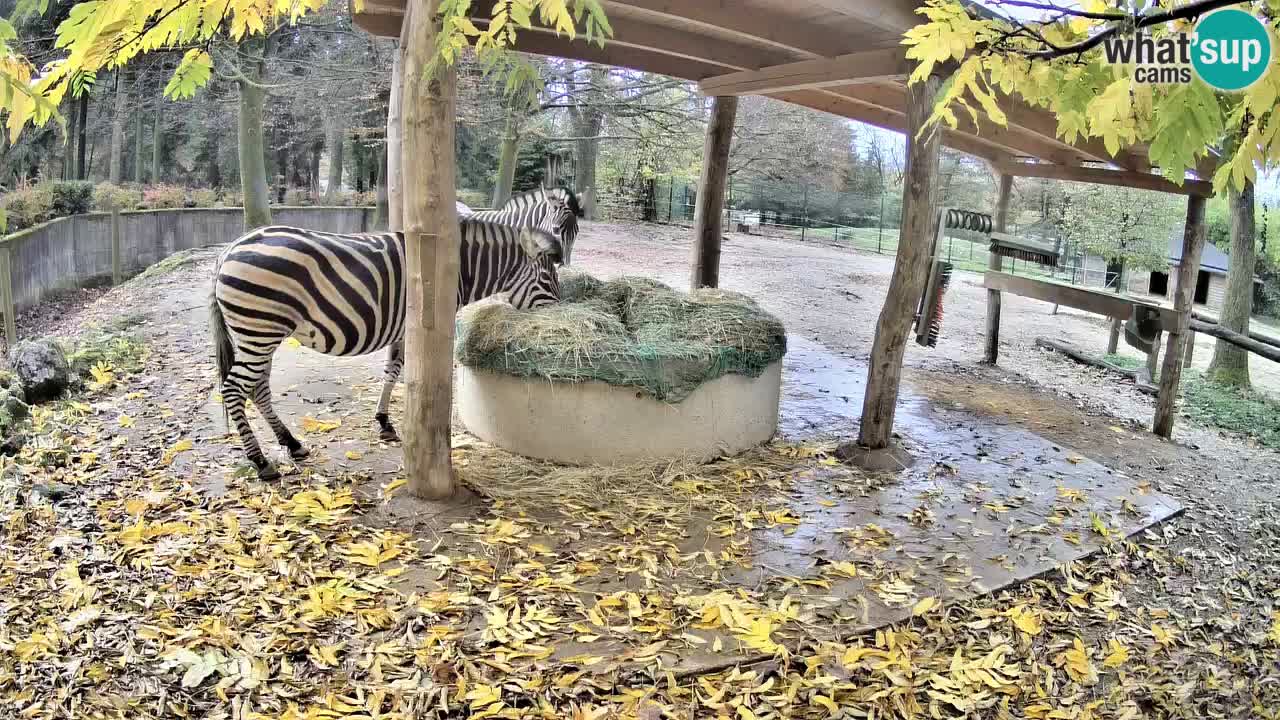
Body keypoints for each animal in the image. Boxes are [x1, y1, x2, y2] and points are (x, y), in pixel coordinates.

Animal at [209, 219, 563, 480]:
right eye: (548, 277)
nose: (562, 310)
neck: (457, 269)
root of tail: (229, 249)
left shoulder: (402, 328)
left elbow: (391, 370)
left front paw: (383, 422)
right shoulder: (419, 326)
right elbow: (402, 370)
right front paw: (389, 421)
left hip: (258, 334)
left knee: (257, 388)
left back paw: (292, 444)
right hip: (260, 330)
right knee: (234, 389)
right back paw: (260, 462)